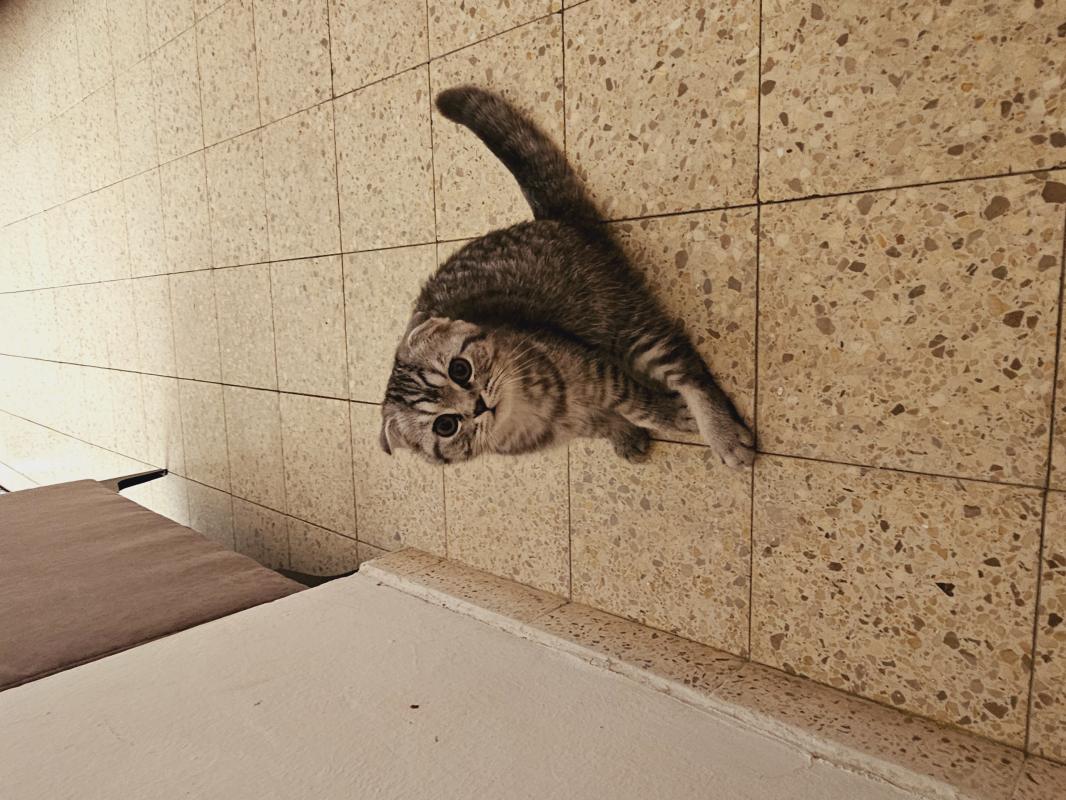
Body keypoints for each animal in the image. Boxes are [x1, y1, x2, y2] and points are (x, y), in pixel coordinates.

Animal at [379, 86, 754, 469]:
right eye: (445, 426)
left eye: (460, 370)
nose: (478, 405)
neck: (529, 413)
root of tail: (551, 220)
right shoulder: (579, 418)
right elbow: (600, 423)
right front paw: (623, 434)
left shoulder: (596, 371)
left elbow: (639, 404)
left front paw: (669, 415)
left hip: (620, 321)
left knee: (688, 372)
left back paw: (721, 432)